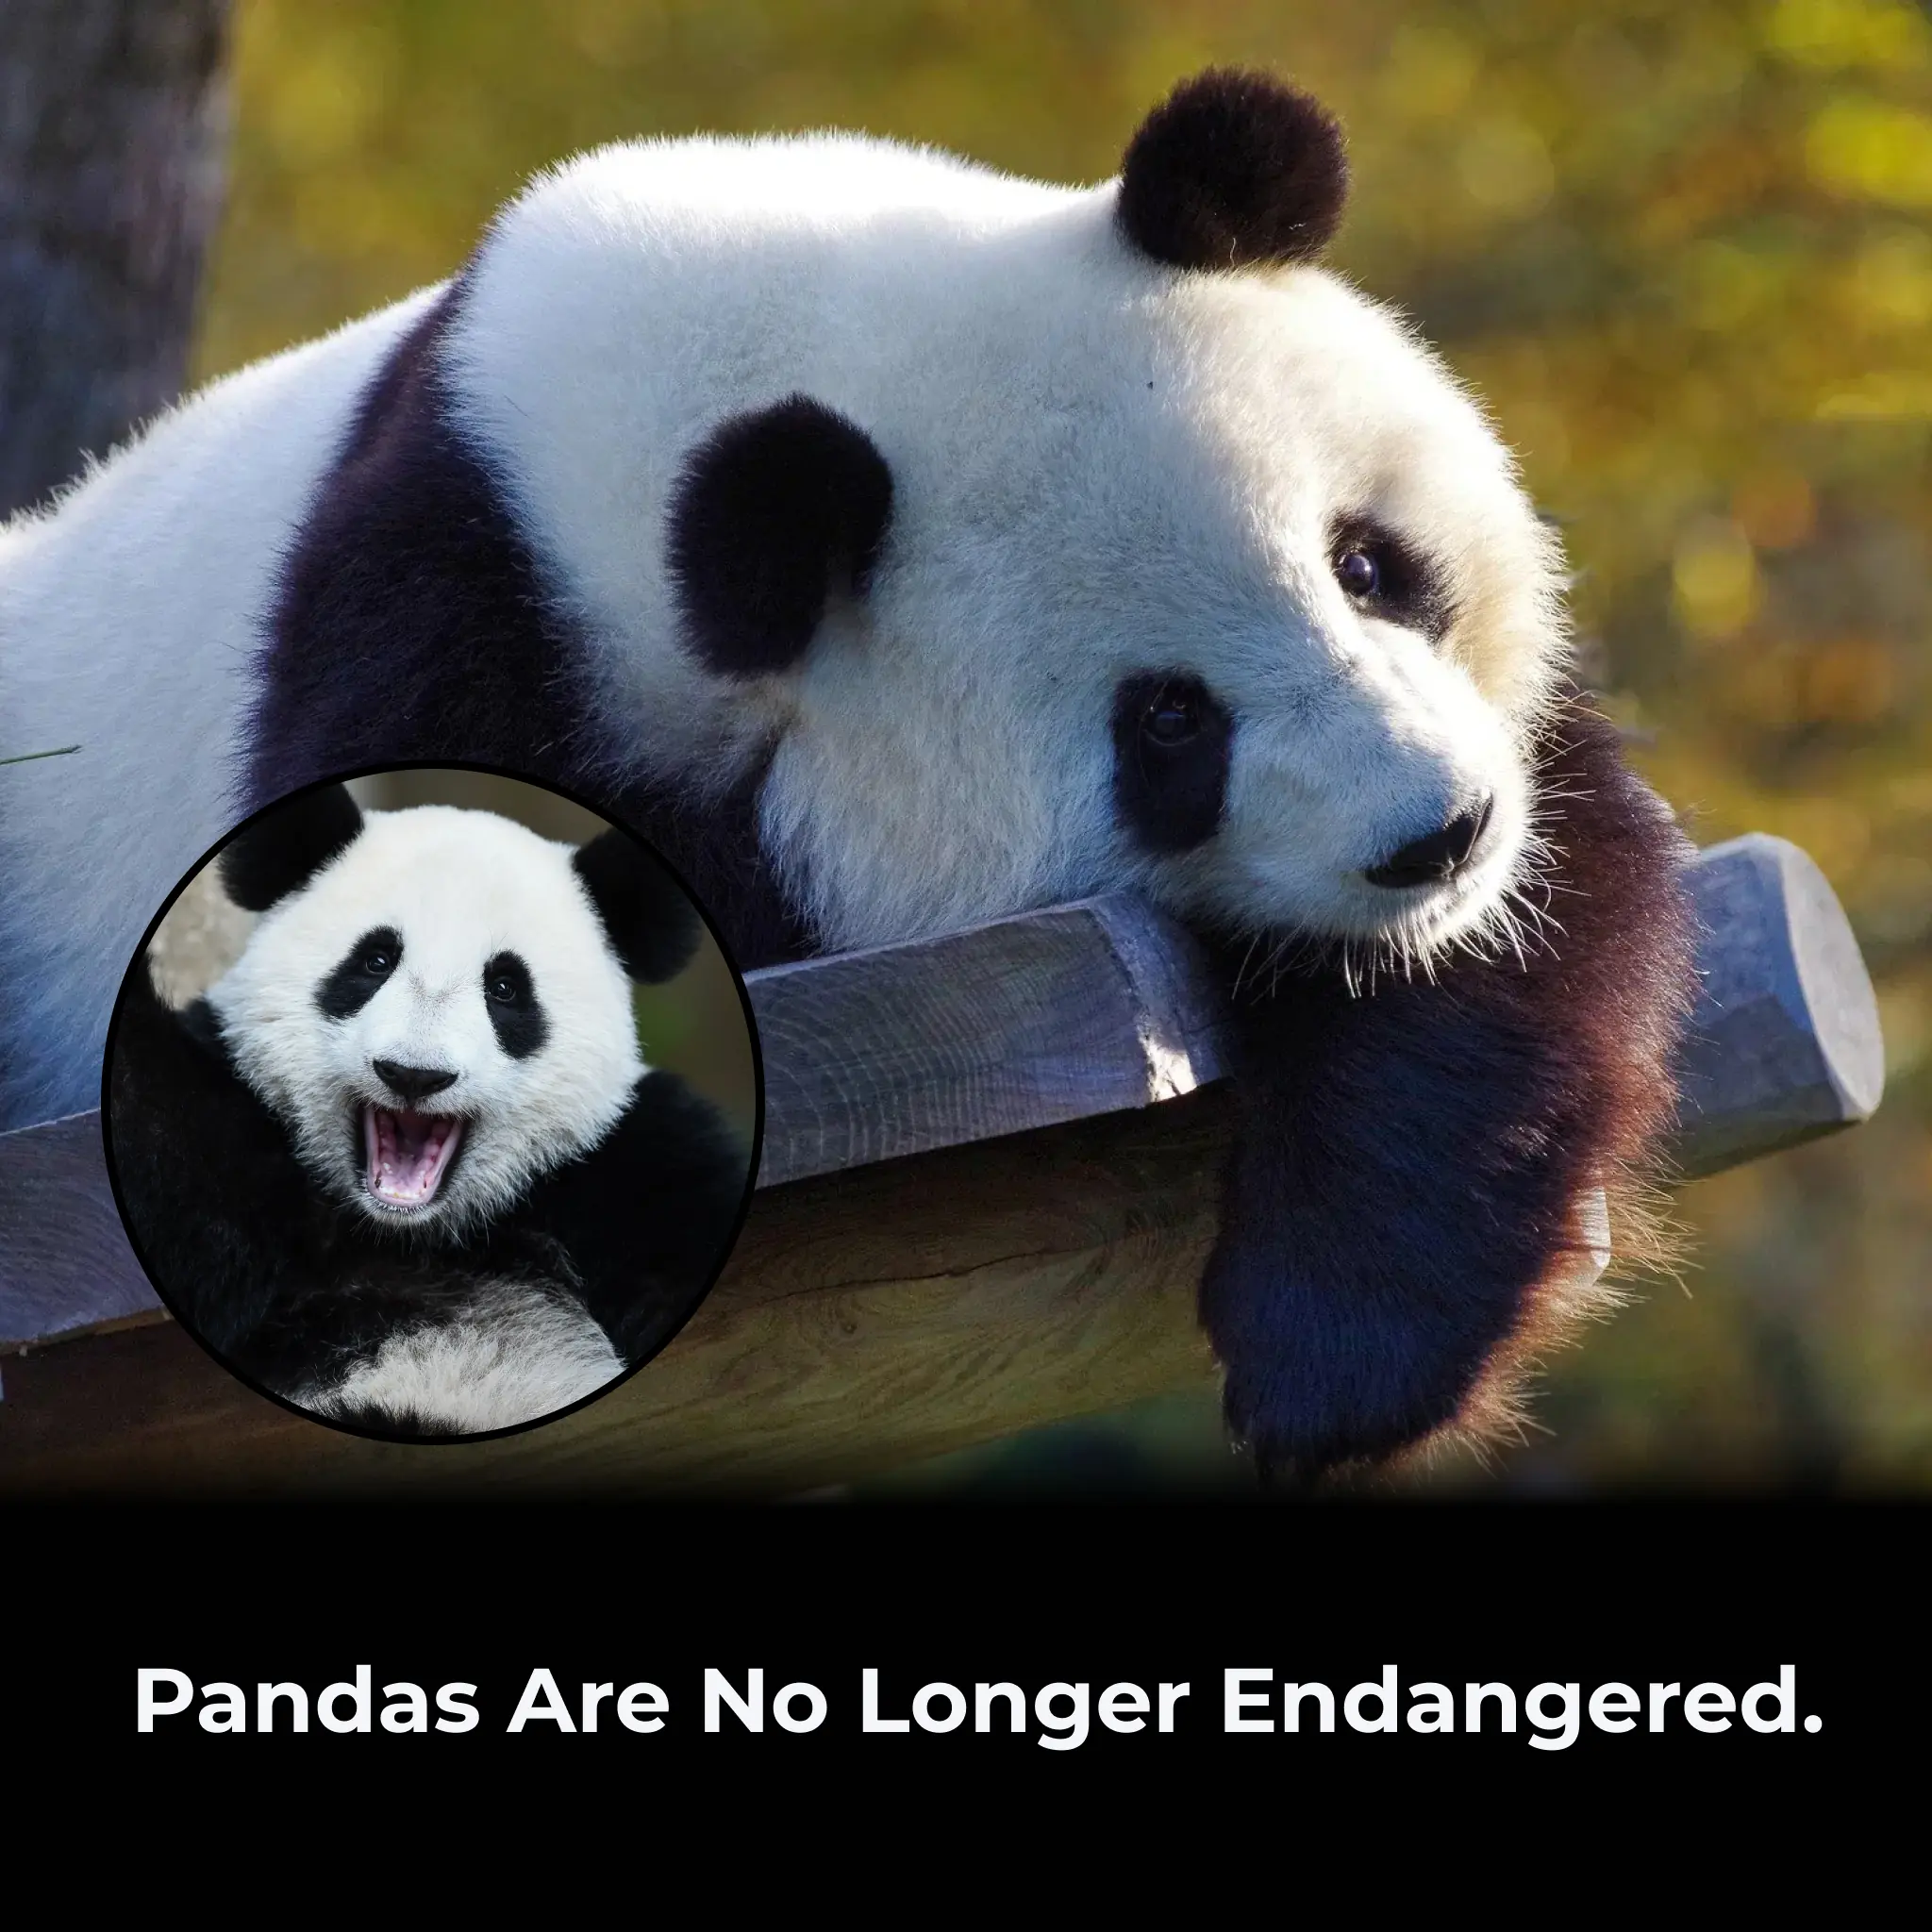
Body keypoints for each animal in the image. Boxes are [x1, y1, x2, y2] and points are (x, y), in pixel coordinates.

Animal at [105, 782, 755, 1439]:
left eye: (505, 988)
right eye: (374, 961)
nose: (415, 1074)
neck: (415, 1235)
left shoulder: (635, 1168)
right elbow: (167, 1160)